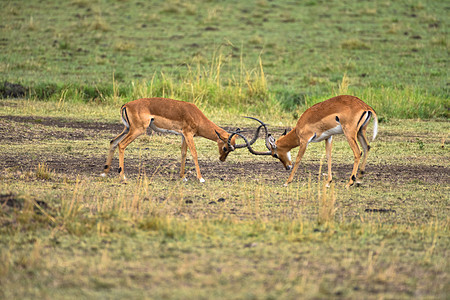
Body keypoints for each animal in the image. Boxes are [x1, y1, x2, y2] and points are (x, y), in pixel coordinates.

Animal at [100, 98, 258, 182]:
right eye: (225, 147)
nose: (222, 159)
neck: (196, 115)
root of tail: (126, 105)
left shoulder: (183, 135)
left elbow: (183, 154)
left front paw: (183, 177)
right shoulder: (188, 134)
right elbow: (194, 154)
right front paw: (200, 178)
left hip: (127, 129)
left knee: (113, 142)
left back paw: (104, 173)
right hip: (138, 130)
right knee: (121, 144)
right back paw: (122, 176)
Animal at [237, 95, 378, 186]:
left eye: (275, 155)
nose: (287, 167)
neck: (300, 126)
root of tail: (366, 107)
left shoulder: (304, 141)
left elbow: (299, 159)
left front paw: (287, 182)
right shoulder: (328, 137)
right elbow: (328, 156)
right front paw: (328, 182)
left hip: (350, 133)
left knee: (357, 152)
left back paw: (350, 182)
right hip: (360, 132)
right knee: (367, 147)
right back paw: (359, 179)